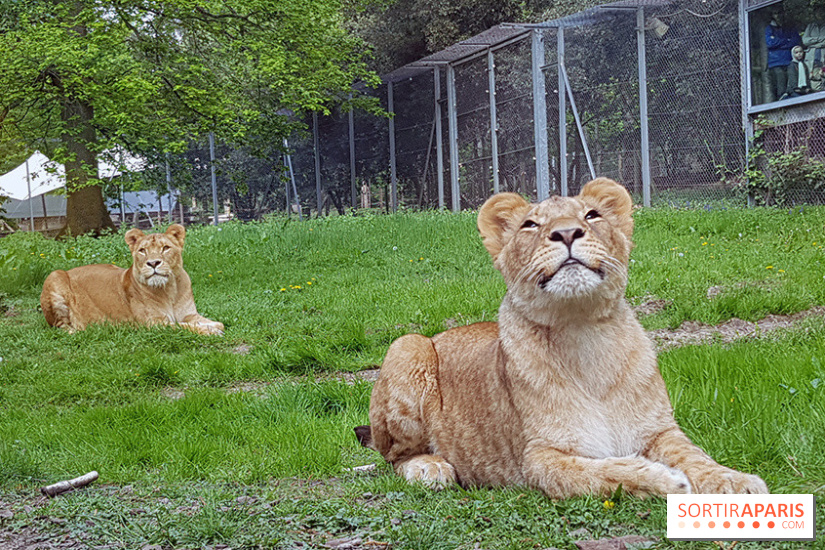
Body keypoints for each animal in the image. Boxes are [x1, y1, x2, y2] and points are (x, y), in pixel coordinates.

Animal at [40, 224, 224, 336]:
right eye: (142, 250)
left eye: (166, 248)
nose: (153, 263)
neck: (169, 290)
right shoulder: (154, 324)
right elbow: (185, 328)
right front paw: (209, 331)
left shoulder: (189, 314)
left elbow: (219, 323)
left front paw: (212, 326)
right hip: (54, 275)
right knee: (60, 326)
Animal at [354, 179, 768, 498]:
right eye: (530, 224)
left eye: (592, 215)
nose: (567, 232)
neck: (583, 332)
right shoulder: (540, 458)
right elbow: (604, 471)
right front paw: (666, 480)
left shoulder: (661, 431)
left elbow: (696, 456)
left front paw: (737, 482)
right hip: (408, 345)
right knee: (393, 457)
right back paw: (431, 468)